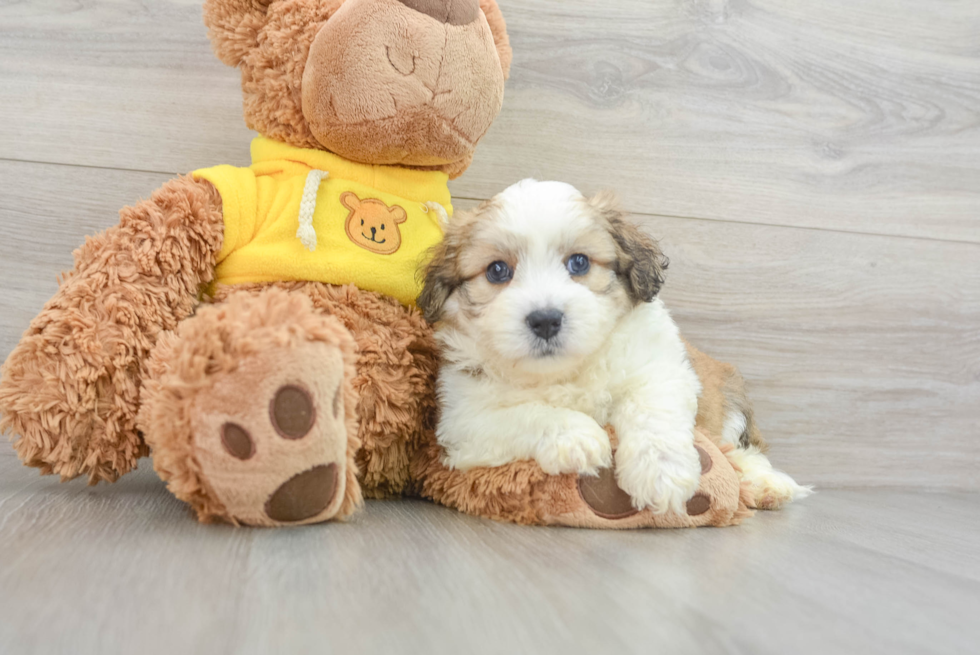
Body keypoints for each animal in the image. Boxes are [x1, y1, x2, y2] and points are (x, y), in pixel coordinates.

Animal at [418, 179, 808, 512]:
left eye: (579, 262)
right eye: (497, 271)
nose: (545, 319)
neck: (565, 371)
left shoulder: (659, 368)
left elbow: (651, 410)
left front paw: (661, 472)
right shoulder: (461, 422)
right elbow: (523, 415)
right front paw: (577, 437)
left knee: (742, 450)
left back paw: (765, 483)